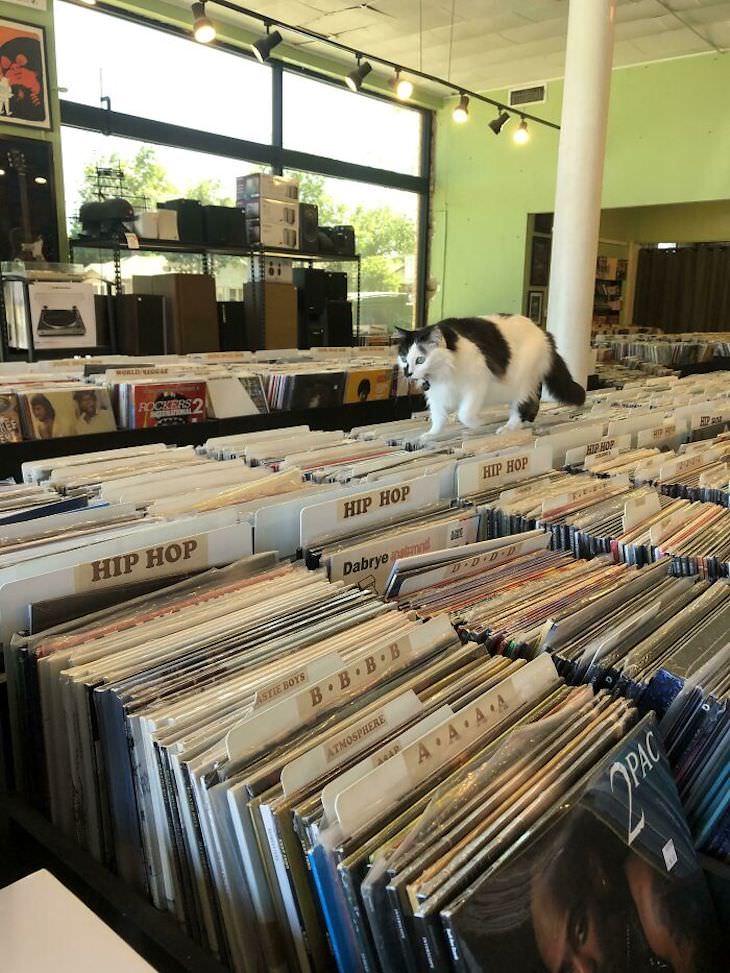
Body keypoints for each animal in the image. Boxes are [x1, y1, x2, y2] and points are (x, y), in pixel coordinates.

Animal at [396, 314, 584, 438]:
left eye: (420, 359)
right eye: (404, 358)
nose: (408, 372)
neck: (444, 372)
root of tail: (544, 333)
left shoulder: (477, 384)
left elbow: (465, 413)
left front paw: (480, 423)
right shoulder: (435, 394)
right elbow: (438, 417)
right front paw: (431, 434)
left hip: (522, 382)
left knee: (524, 405)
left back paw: (508, 428)